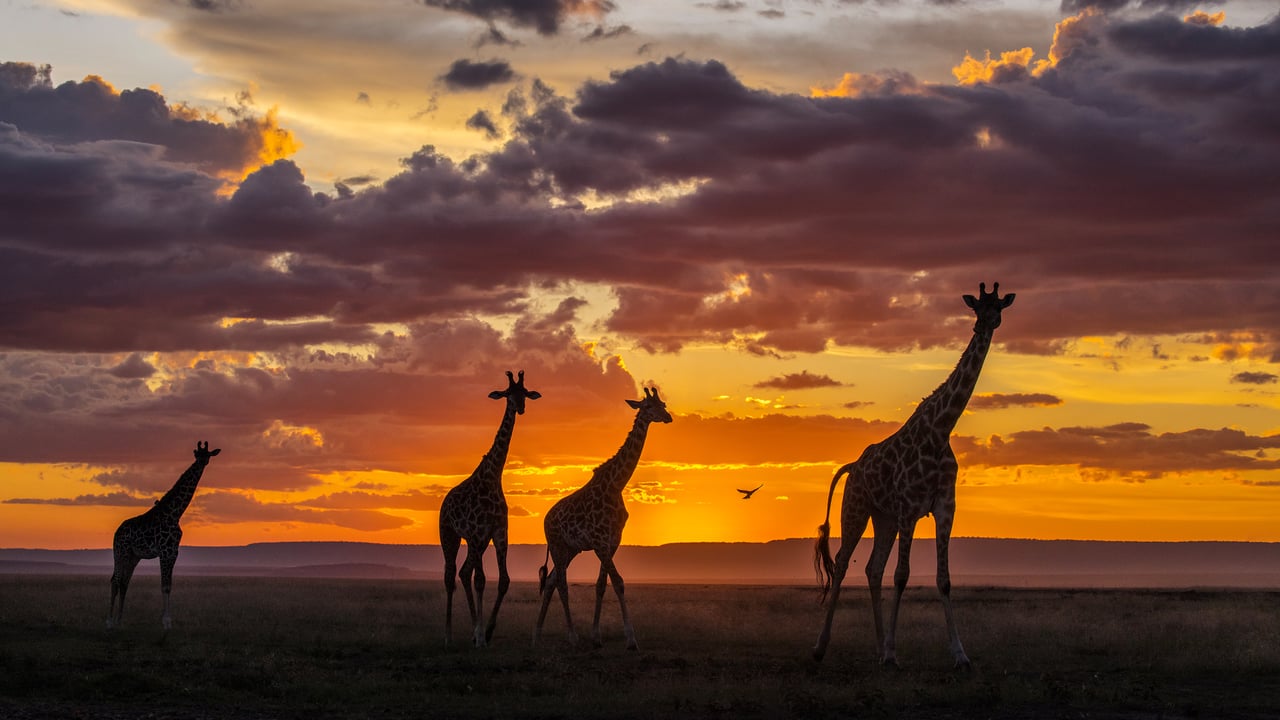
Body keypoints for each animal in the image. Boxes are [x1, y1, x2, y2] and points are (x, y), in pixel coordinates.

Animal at [107, 441, 221, 630]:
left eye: (207, 454)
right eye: (198, 454)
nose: (202, 462)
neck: (175, 513)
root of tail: (117, 532)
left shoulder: (174, 552)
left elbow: (169, 585)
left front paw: (167, 621)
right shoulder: (165, 552)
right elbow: (164, 586)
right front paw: (166, 622)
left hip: (133, 556)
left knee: (124, 582)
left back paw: (119, 620)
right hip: (120, 552)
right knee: (115, 581)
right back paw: (108, 622)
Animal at [438, 370, 541, 647]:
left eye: (525, 392)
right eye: (507, 394)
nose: (521, 407)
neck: (493, 476)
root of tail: (444, 502)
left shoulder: (498, 532)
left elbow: (502, 580)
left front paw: (487, 631)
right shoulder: (476, 533)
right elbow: (478, 579)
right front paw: (480, 634)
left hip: (477, 541)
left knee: (468, 574)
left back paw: (473, 633)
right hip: (450, 536)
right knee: (452, 575)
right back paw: (448, 635)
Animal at [533, 387, 673, 651]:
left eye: (663, 404)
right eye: (649, 406)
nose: (668, 417)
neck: (616, 484)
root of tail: (545, 519)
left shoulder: (613, 540)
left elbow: (601, 585)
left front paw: (596, 636)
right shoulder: (599, 541)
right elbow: (618, 582)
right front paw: (631, 639)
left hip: (570, 549)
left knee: (552, 580)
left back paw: (537, 632)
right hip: (557, 545)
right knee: (561, 583)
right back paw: (572, 636)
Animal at [813, 282, 1015, 668]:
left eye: (999, 307)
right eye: (976, 307)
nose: (986, 324)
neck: (940, 429)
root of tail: (853, 467)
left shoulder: (945, 508)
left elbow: (943, 579)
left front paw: (960, 655)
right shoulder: (909, 508)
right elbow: (902, 576)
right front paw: (894, 653)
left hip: (884, 518)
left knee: (872, 568)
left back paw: (878, 648)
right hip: (857, 509)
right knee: (844, 564)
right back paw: (820, 648)